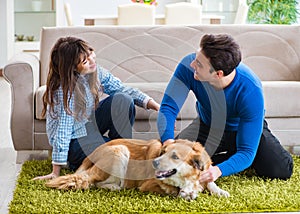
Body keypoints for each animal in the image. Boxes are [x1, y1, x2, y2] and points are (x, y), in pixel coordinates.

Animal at [45, 139, 230, 201]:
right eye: (163, 152)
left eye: (175, 156)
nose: (154, 163)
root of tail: (90, 155)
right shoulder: (149, 185)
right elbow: (172, 190)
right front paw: (186, 193)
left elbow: (209, 182)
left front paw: (220, 191)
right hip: (120, 151)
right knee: (93, 182)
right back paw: (114, 187)